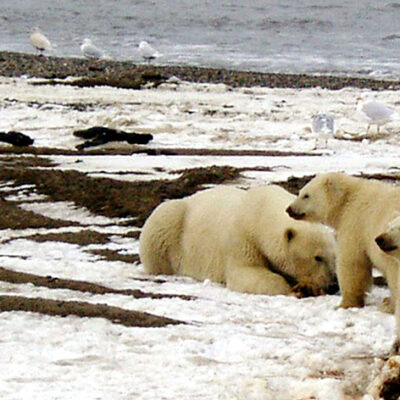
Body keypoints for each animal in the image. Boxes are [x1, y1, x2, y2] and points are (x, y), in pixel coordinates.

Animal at [139, 186, 336, 296]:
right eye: (317, 257)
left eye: (334, 257)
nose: (333, 284)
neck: (260, 213)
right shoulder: (242, 238)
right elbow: (246, 272)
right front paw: (295, 290)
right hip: (170, 224)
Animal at [288, 171, 400, 350]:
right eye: (300, 192)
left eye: (306, 195)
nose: (289, 209)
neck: (348, 199)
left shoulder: (355, 223)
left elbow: (352, 263)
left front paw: (344, 304)